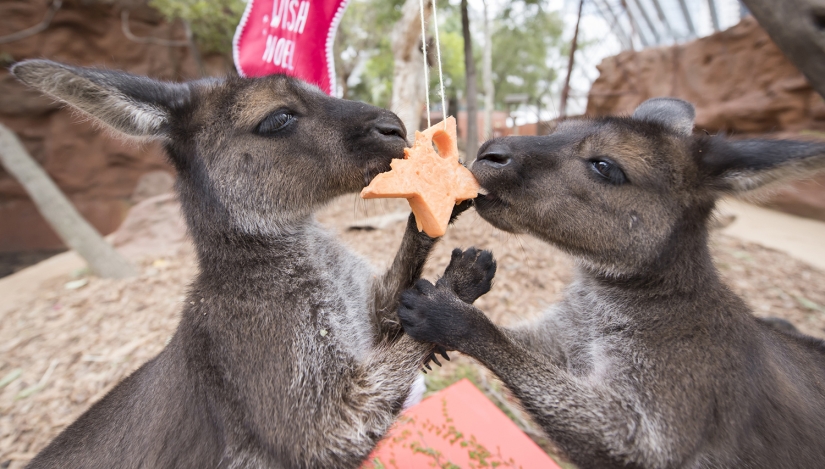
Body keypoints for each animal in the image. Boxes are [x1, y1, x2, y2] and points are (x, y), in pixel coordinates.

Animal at [11, 59, 459, 469]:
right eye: (278, 118)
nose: (395, 126)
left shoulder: (366, 311)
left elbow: (392, 305)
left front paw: (438, 208)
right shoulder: (307, 409)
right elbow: (343, 420)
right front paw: (454, 297)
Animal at [398, 98, 825, 469]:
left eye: (605, 166)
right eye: (558, 131)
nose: (489, 152)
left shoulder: (670, 418)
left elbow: (618, 436)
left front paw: (442, 314)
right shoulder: (562, 337)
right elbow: (521, 342)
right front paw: (455, 290)